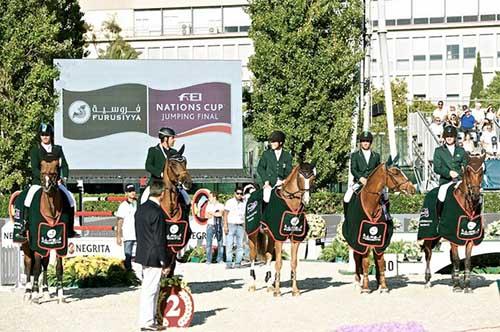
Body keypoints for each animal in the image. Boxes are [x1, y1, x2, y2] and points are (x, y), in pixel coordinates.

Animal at [247, 162, 316, 296]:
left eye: (312, 178)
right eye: (300, 177)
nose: (306, 200)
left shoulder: (295, 239)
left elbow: (293, 263)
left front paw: (295, 290)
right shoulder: (279, 239)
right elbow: (279, 263)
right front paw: (278, 291)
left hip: (270, 237)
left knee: (268, 256)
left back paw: (269, 286)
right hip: (252, 234)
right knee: (252, 256)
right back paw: (252, 285)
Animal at [344, 163, 418, 294]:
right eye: (396, 173)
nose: (413, 189)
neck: (372, 204)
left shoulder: (381, 240)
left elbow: (380, 262)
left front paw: (383, 286)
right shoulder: (362, 241)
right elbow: (365, 263)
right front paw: (365, 288)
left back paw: (377, 282)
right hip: (354, 243)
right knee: (357, 259)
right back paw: (358, 283)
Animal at [420, 152, 486, 292]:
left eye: (482, 171)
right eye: (468, 171)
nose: (475, 195)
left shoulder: (470, 237)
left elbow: (467, 261)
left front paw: (467, 285)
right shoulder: (453, 237)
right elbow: (456, 259)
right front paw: (457, 286)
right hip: (429, 233)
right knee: (428, 253)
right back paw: (428, 281)